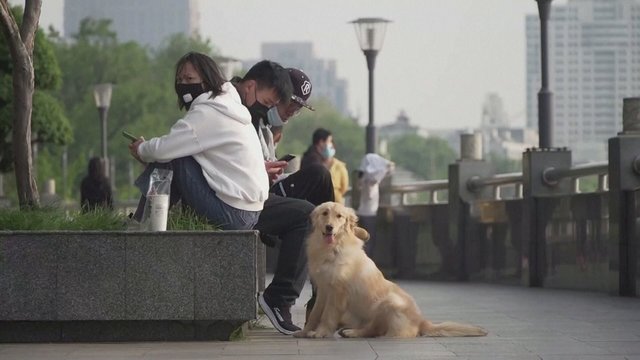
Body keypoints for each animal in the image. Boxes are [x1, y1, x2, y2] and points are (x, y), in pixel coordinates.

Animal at [296, 202, 484, 338]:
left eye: (339, 216)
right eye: (324, 213)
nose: (329, 227)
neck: (331, 248)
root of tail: (422, 322)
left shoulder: (338, 292)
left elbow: (327, 315)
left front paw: (320, 333)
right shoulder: (323, 290)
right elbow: (314, 314)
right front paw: (304, 332)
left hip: (387, 302)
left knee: (374, 330)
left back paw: (352, 332)